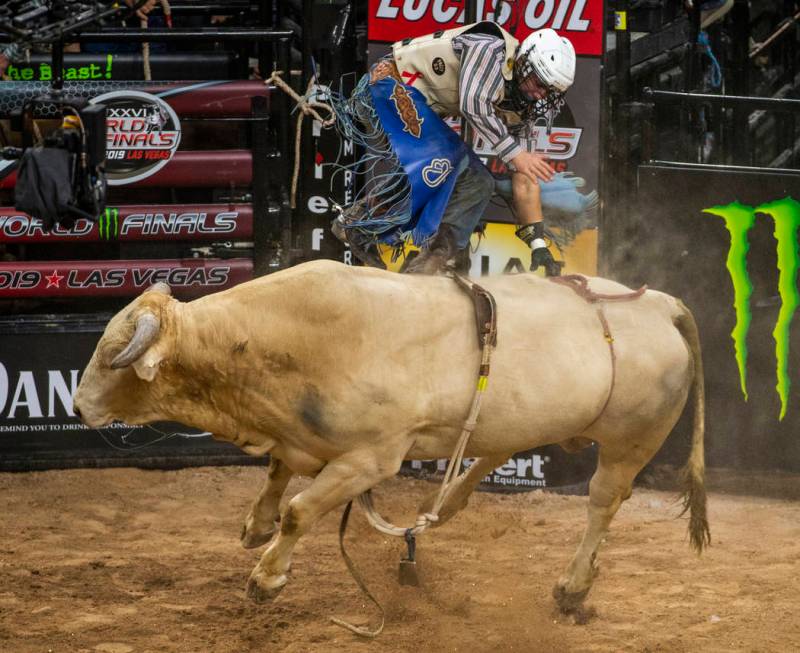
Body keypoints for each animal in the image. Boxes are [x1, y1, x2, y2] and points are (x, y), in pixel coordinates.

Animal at [72, 258, 708, 612]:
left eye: (110, 356)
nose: (77, 404)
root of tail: (661, 304)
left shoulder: (370, 461)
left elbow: (301, 511)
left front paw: (267, 579)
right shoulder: (301, 433)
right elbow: (279, 470)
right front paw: (255, 525)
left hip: (630, 441)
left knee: (602, 503)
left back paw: (573, 587)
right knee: (496, 448)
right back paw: (448, 502)